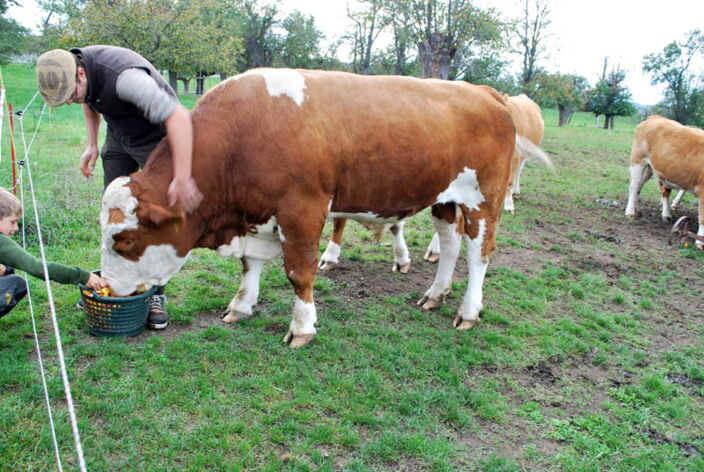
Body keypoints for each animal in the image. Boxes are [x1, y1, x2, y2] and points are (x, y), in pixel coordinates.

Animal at [99, 69, 516, 346]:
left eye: (125, 241)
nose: (109, 287)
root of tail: (482, 92)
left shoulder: (302, 210)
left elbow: (299, 273)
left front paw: (301, 328)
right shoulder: (256, 214)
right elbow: (249, 264)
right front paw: (241, 305)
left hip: (485, 199)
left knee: (479, 253)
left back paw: (468, 311)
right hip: (446, 200)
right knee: (450, 245)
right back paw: (435, 294)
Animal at [628, 115, 704, 249]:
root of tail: (656, 117)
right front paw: (700, 242)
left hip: (651, 168)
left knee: (640, 186)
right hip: (638, 159)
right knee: (635, 185)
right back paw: (631, 212)